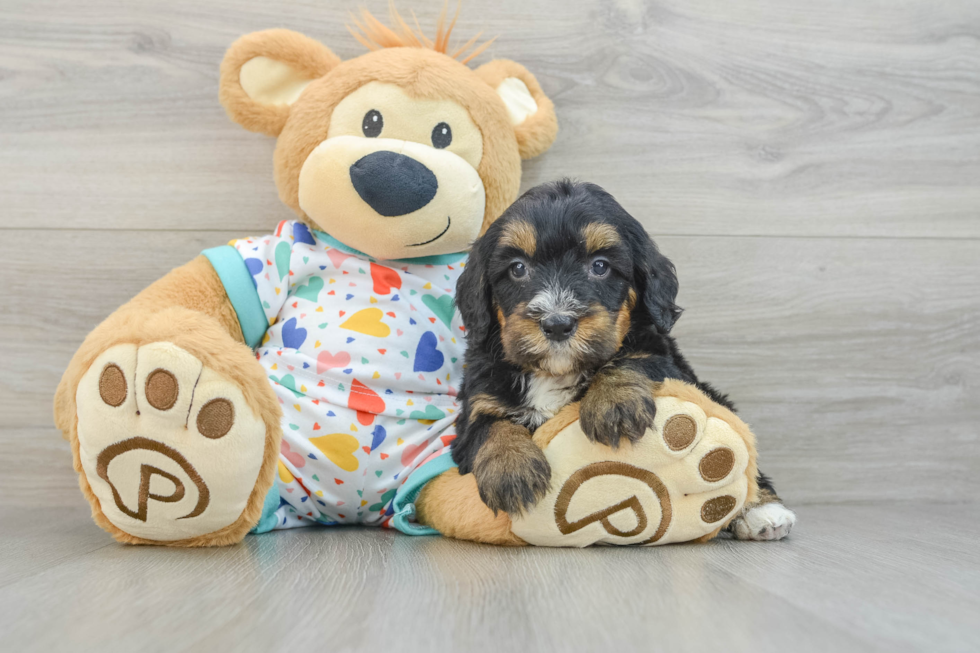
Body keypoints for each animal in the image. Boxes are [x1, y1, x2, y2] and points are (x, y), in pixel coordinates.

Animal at [452, 178, 796, 540]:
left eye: (600, 266)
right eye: (518, 268)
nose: (557, 323)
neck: (556, 372)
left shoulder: (665, 359)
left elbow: (632, 358)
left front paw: (614, 403)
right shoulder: (477, 403)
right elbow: (489, 426)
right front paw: (511, 468)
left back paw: (762, 510)